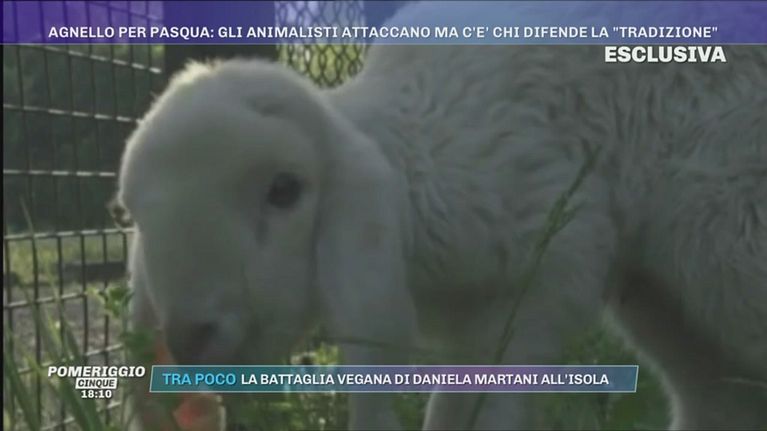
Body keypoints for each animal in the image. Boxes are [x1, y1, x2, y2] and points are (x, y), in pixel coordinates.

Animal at [117, 3, 767, 430]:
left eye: (284, 190)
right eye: (135, 215)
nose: (187, 336)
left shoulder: (543, 273)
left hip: (730, 238)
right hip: (665, 297)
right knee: (717, 397)